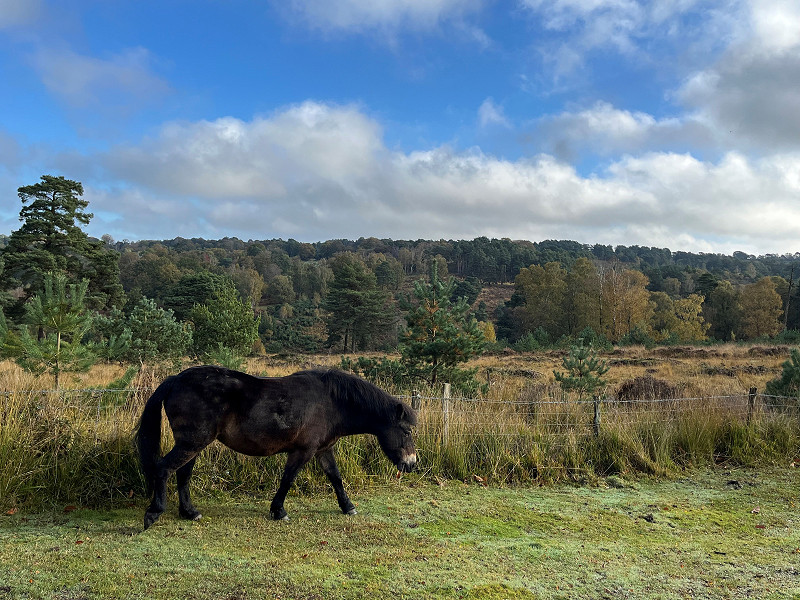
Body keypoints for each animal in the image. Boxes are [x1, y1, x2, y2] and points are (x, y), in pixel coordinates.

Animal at [135, 365, 417, 530]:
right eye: (406, 431)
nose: (412, 464)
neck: (332, 402)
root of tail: (175, 380)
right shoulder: (303, 451)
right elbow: (288, 479)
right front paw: (278, 511)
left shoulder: (323, 450)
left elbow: (335, 478)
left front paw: (347, 506)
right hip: (192, 442)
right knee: (163, 469)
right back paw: (154, 513)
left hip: (193, 444)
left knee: (183, 474)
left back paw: (189, 512)